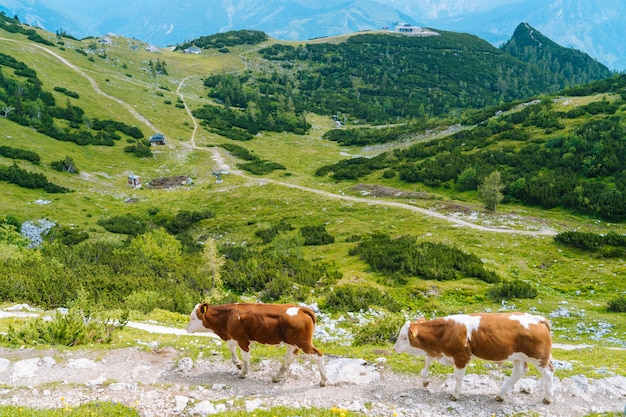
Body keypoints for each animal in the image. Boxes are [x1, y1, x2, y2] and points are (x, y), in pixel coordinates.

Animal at [185, 300, 326, 386]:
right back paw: (276, 377)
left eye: (193, 317)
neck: (228, 317)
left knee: (318, 355)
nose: (186, 329)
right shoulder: (232, 337)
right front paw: (238, 365)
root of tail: (301, 309)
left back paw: (323, 380)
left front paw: (243, 373)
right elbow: (232, 354)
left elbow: (246, 358)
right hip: (293, 343)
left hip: (303, 342)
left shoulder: (242, 339)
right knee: (289, 358)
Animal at [392, 312, 552, 404]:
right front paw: (425, 381)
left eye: (404, 337)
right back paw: (500, 395)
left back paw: (548, 398)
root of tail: (536, 319)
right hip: (518, 356)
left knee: (549, 373)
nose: (394, 348)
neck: (444, 332)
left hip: (539, 357)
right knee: (519, 371)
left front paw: (455, 395)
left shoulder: (461, 356)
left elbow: (458, 377)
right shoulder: (438, 351)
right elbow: (426, 363)